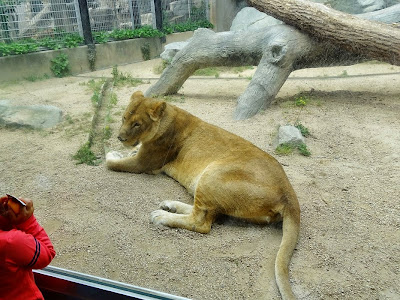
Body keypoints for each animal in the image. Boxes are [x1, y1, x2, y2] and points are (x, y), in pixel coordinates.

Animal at [106, 91, 300, 300]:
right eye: (123, 118)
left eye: (137, 124)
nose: (119, 138)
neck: (170, 116)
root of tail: (289, 193)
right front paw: (121, 150)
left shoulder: (144, 163)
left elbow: (112, 163)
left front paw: (113, 154)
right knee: (208, 213)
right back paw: (170, 205)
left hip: (212, 173)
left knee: (201, 222)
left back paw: (162, 216)